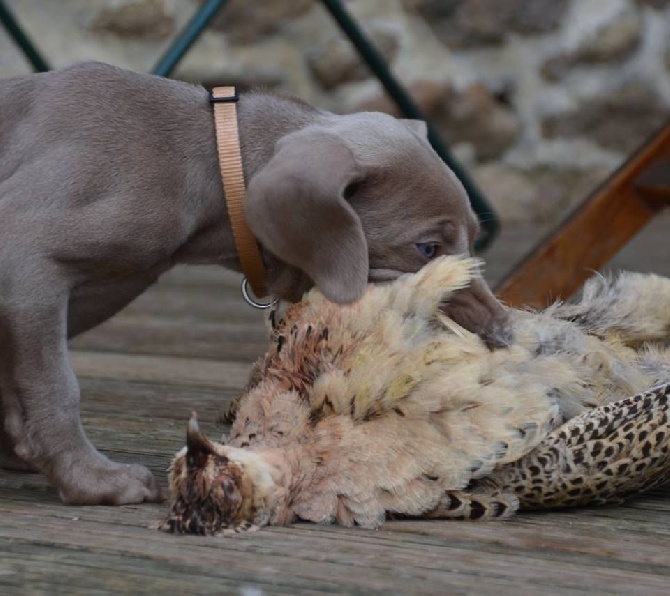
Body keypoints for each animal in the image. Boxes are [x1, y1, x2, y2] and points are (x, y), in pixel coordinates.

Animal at [0, 64, 506, 502]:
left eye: (473, 237)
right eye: (427, 249)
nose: (503, 331)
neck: (208, 158)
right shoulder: (25, 255)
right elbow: (57, 387)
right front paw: (90, 480)